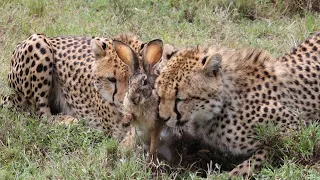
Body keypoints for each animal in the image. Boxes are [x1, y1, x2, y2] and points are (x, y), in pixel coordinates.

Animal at [154, 31, 320, 176]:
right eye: (159, 94)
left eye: (180, 98)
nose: (163, 118)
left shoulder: (298, 130)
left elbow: (264, 153)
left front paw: (234, 173)